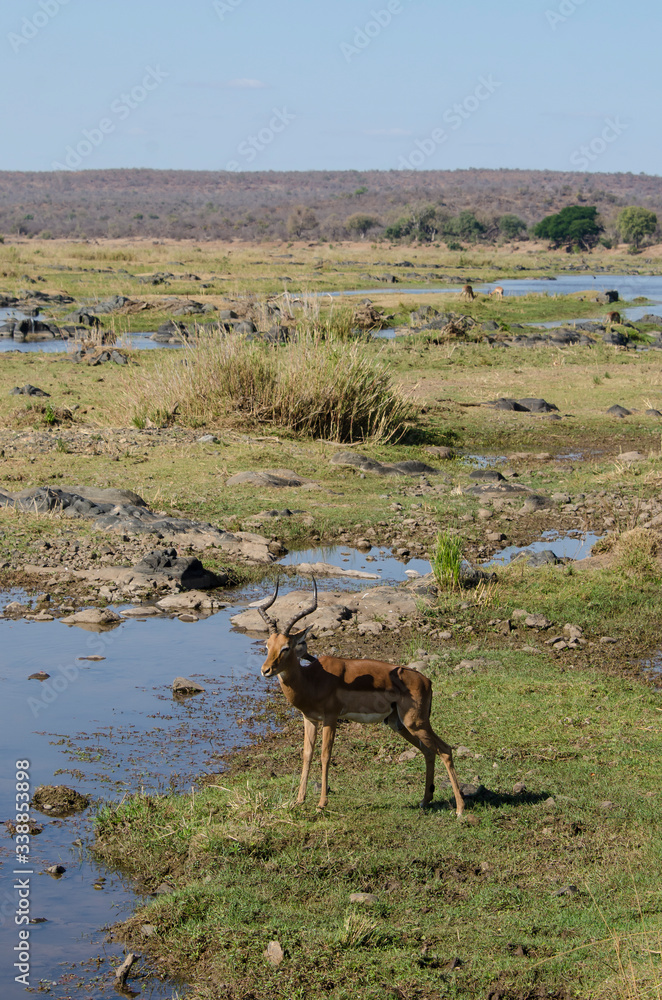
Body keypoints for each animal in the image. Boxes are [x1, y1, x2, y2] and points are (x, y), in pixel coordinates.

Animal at [255, 580, 465, 816]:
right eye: (267, 645)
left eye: (286, 647)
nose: (266, 670)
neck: (312, 680)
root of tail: (427, 681)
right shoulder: (309, 719)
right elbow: (307, 754)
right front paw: (299, 800)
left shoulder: (331, 718)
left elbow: (325, 755)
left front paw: (321, 803)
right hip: (399, 724)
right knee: (429, 752)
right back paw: (425, 800)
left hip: (416, 723)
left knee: (445, 750)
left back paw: (460, 809)